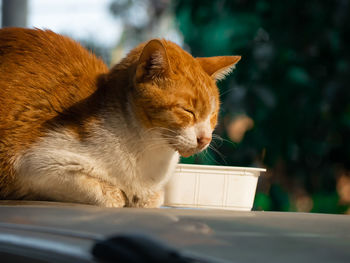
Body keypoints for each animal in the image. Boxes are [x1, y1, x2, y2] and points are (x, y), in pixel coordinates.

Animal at [0, 27, 241, 208]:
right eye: (187, 111)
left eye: (212, 115)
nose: (205, 139)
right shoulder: (35, 164)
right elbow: (109, 195)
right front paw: (119, 194)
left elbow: (155, 197)